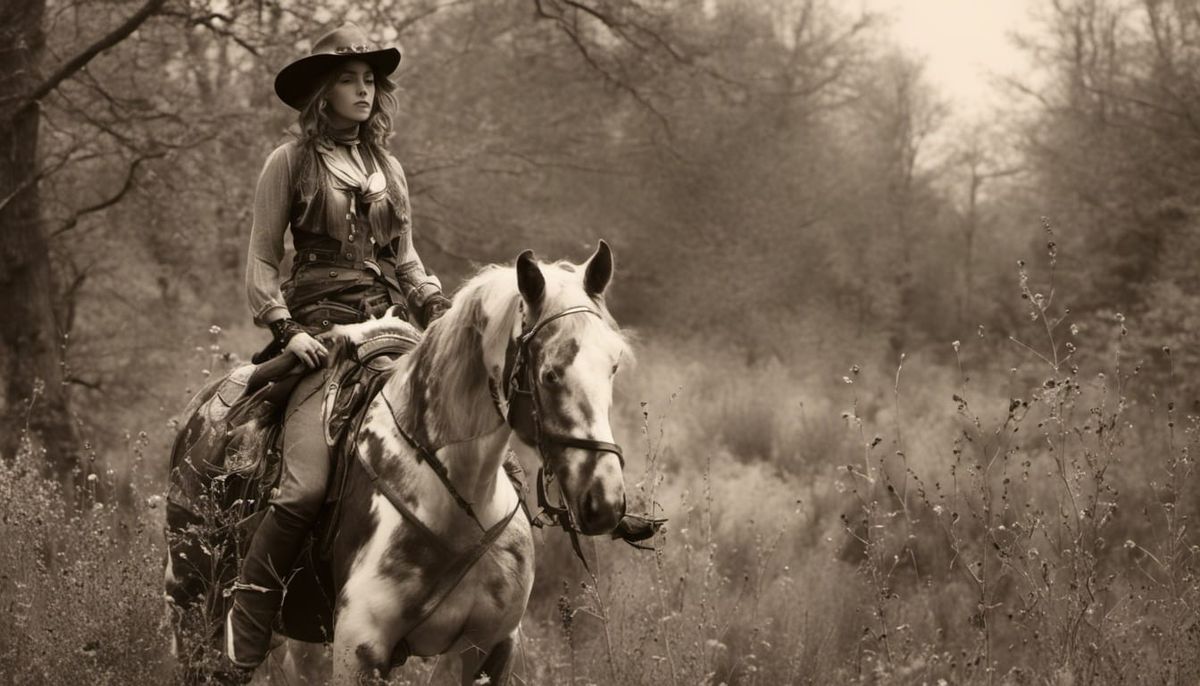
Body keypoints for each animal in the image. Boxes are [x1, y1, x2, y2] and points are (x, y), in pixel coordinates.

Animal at [164, 242, 633, 684]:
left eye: (613, 366)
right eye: (550, 373)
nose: (605, 501)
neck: (460, 502)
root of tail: (198, 414)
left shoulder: (491, 648)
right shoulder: (359, 648)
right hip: (190, 607)